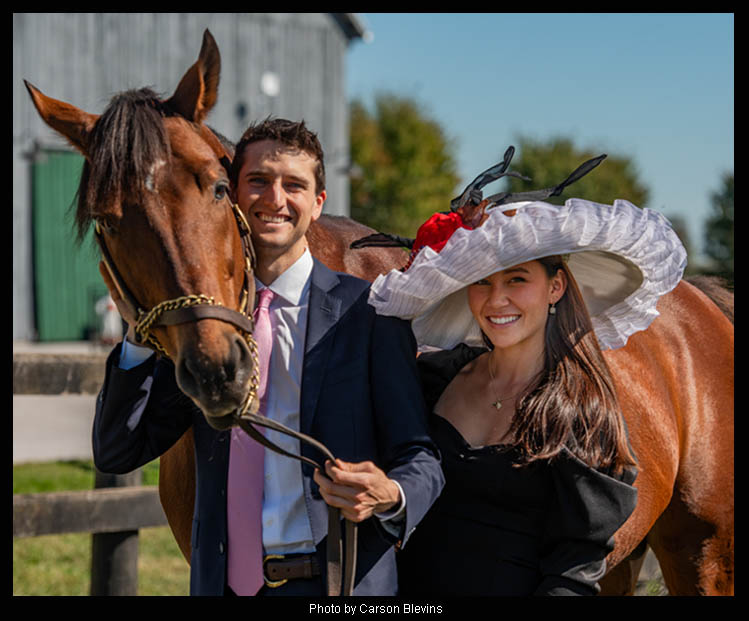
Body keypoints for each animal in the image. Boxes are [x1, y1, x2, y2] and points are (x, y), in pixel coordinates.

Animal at [25, 29, 733, 595]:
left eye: (220, 186)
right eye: (106, 221)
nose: (217, 373)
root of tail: (702, 305)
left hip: (702, 553)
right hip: (615, 557)